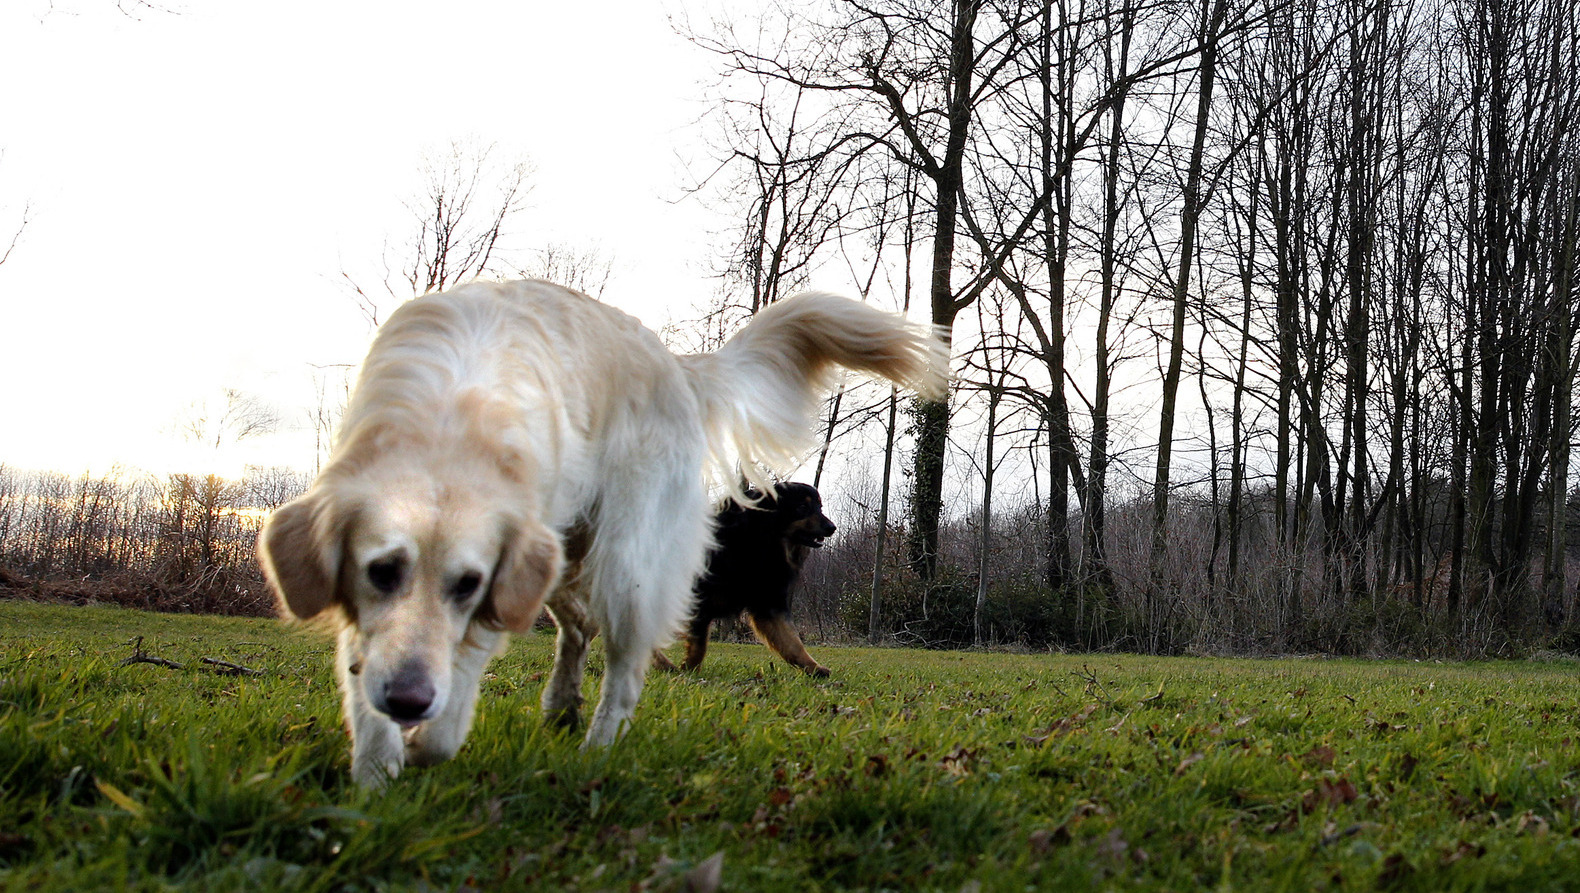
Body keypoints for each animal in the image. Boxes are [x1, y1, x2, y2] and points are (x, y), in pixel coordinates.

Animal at [660, 480, 840, 676]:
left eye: (819, 507)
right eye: (802, 507)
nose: (832, 527)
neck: (757, 540)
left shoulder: (769, 604)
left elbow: (793, 642)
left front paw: (814, 668)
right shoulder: (698, 602)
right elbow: (698, 646)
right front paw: (688, 670)